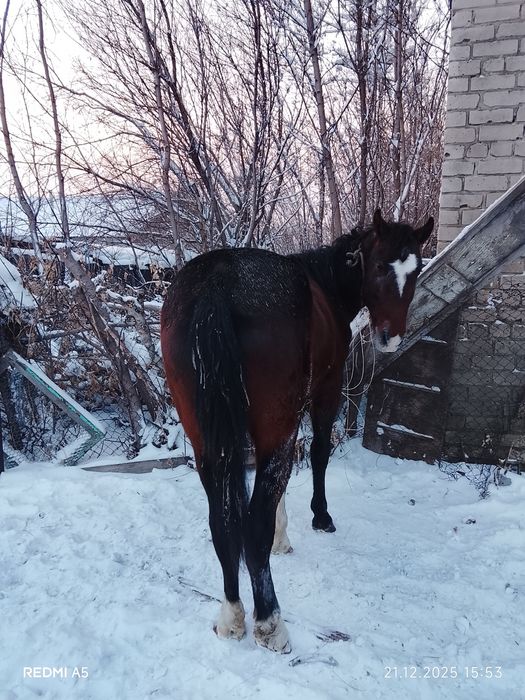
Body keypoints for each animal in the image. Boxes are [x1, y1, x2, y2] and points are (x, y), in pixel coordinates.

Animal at [160, 209, 433, 653]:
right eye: (379, 266)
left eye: (417, 269)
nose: (389, 337)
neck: (324, 283)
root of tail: (216, 283)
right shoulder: (323, 393)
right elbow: (317, 454)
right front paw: (320, 517)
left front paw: (282, 537)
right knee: (252, 522)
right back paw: (269, 621)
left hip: (205, 440)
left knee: (222, 521)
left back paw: (232, 615)